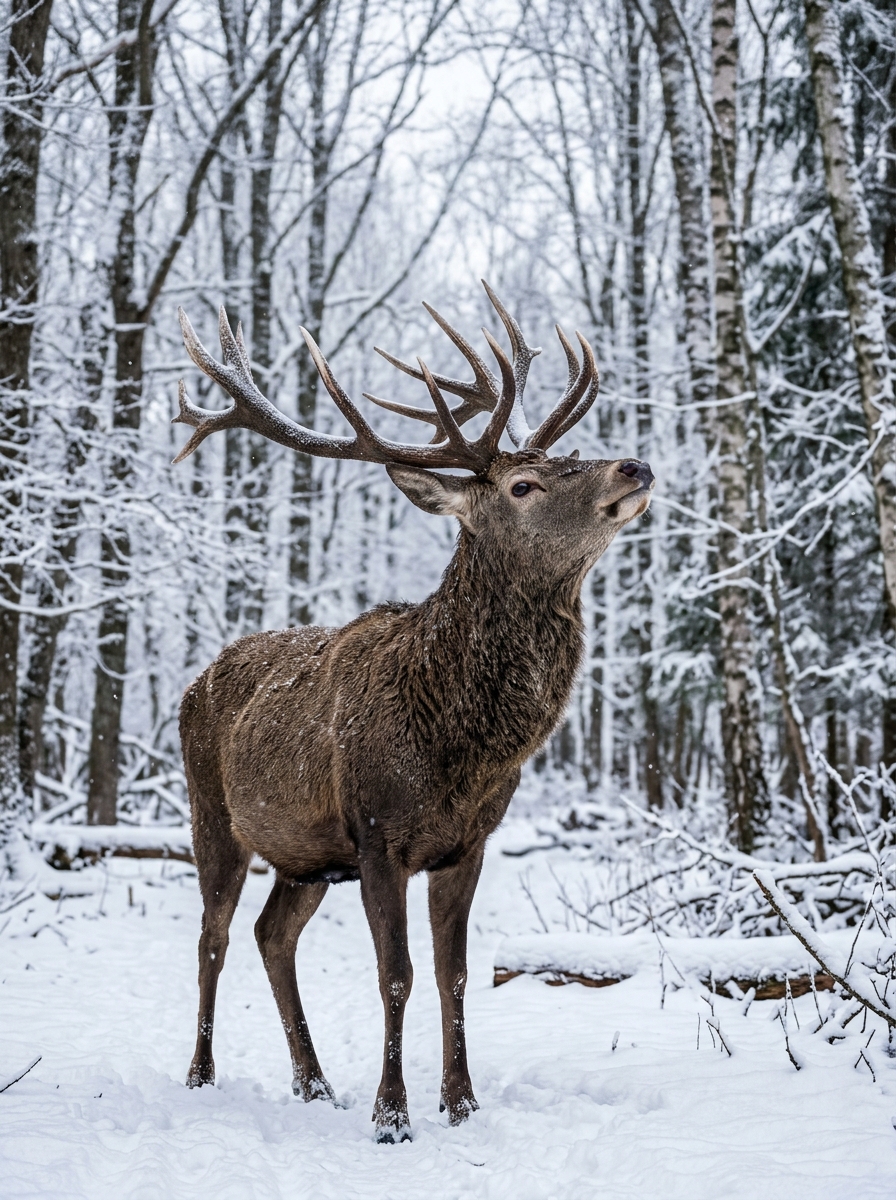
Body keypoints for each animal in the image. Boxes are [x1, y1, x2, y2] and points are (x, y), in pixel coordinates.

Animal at [172, 280, 654, 1143]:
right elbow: (393, 974)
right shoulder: (376, 832)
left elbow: (452, 973)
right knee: (213, 936)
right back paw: (201, 1074)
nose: (634, 464)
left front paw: (460, 1103)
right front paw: (392, 1115)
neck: (460, 748)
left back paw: (313, 1083)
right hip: (211, 813)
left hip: (304, 854)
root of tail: (196, 681)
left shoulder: (468, 843)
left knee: (271, 934)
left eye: (563, 459)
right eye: (523, 486)